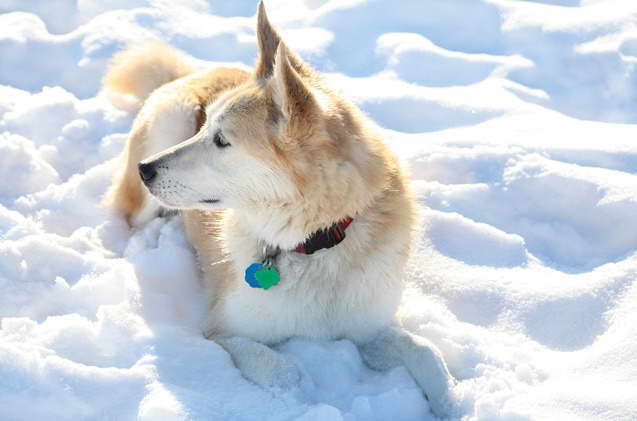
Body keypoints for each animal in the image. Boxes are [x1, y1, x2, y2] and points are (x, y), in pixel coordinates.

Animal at [102, 0, 454, 414]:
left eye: (221, 140)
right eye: (205, 128)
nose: (147, 170)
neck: (314, 243)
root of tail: (197, 70)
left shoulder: (368, 328)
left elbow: (426, 354)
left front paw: (451, 404)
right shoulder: (222, 332)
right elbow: (285, 372)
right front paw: (305, 400)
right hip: (167, 127)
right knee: (127, 218)